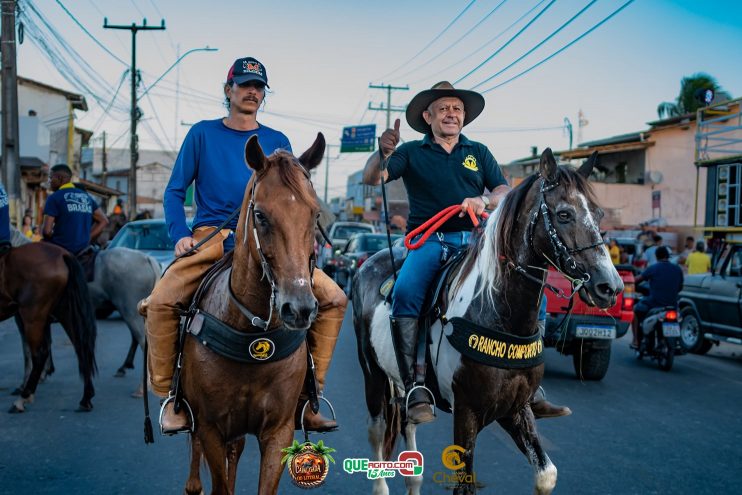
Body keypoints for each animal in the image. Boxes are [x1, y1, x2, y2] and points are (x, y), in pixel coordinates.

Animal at [0, 242, 97, 412]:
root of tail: (63, 254)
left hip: (33, 316)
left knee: (39, 354)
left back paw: (23, 398)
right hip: (65, 312)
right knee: (81, 348)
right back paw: (86, 398)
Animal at [10, 231, 159, 398]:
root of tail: (147, 259)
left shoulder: (25, 318)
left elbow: (28, 350)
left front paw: (25, 384)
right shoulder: (41, 318)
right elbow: (45, 343)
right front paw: (42, 374)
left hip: (130, 311)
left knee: (143, 342)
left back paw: (141, 387)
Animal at [180, 134, 326, 494]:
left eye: (315, 215)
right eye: (260, 215)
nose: (299, 308)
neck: (251, 333)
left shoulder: (278, 431)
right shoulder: (211, 427)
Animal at [354, 149, 620, 494]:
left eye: (599, 215)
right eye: (563, 214)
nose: (610, 287)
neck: (498, 313)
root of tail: (367, 264)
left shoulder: (516, 409)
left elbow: (546, 474)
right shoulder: (466, 412)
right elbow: (464, 483)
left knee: (408, 426)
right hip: (372, 374)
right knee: (377, 430)